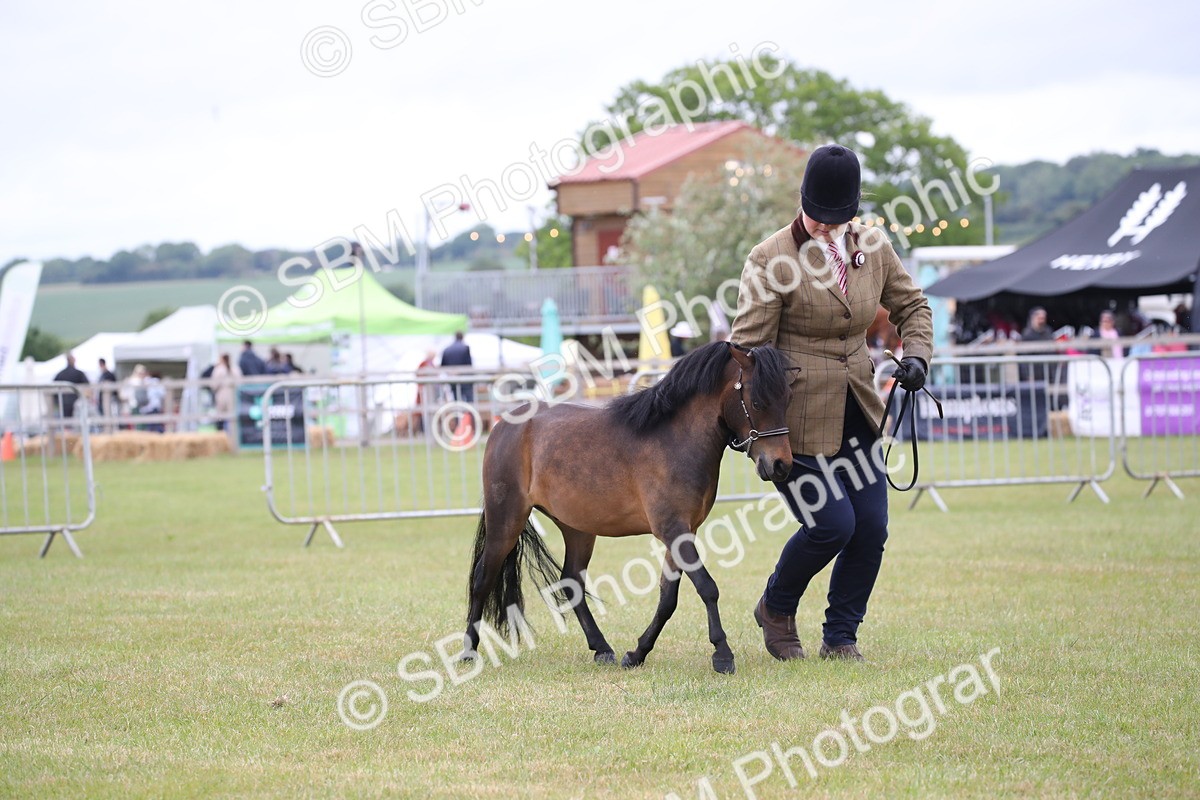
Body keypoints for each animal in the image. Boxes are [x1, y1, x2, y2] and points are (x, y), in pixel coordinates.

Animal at [462, 341, 794, 674]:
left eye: (786, 399)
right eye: (757, 402)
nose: (781, 465)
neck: (674, 439)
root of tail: (505, 424)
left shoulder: (684, 532)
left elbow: (667, 599)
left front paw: (637, 653)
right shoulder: (673, 530)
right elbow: (707, 587)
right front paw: (723, 654)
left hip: (577, 529)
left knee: (571, 581)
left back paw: (602, 648)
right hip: (506, 520)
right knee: (482, 578)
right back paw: (468, 651)